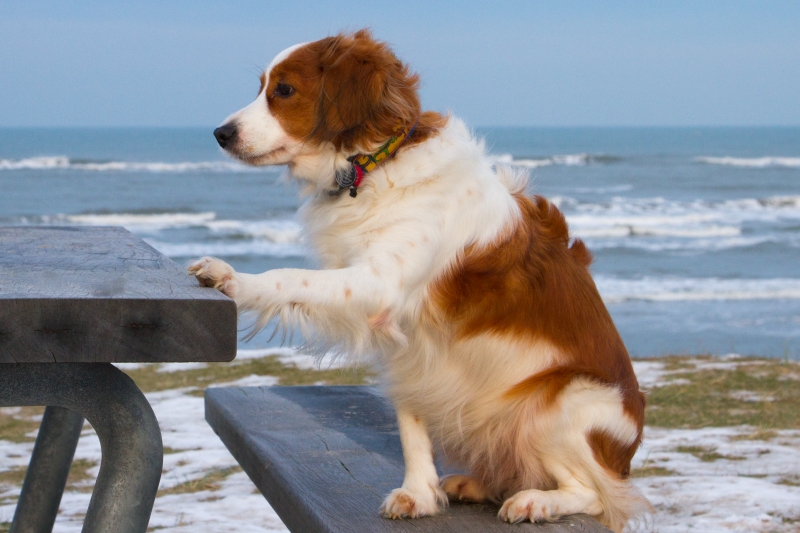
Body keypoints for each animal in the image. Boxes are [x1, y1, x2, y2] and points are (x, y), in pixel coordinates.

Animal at [189, 30, 648, 532]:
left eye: (284, 90)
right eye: (261, 88)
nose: (219, 134)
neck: (373, 165)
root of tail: (625, 455)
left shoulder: (379, 283)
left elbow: (288, 277)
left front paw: (234, 278)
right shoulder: (406, 343)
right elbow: (412, 427)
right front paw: (420, 494)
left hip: (560, 405)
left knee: (596, 494)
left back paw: (537, 501)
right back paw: (477, 484)